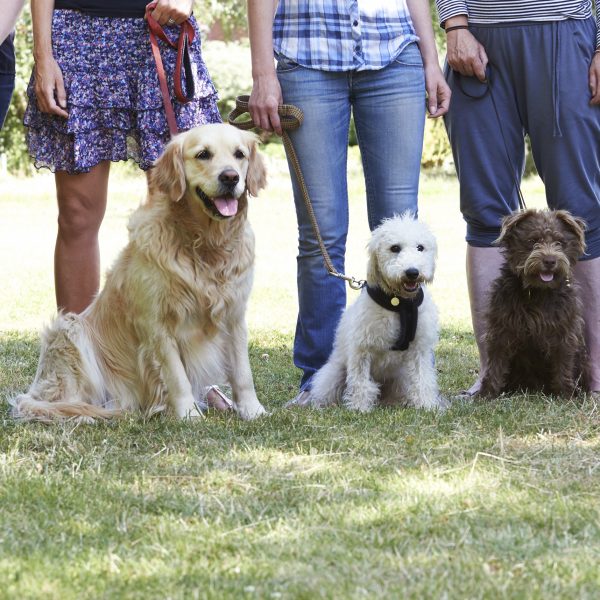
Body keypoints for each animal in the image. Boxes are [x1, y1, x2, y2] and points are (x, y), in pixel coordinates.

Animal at [310, 214, 446, 412]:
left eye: (420, 247)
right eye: (394, 248)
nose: (412, 272)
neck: (399, 303)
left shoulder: (419, 349)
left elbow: (423, 379)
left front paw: (426, 405)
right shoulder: (361, 349)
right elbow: (360, 382)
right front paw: (359, 408)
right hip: (333, 373)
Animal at [480, 209, 588, 400]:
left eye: (560, 243)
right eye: (533, 241)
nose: (550, 260)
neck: (538, 291)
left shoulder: (564, 331)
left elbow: (563, 363)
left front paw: (565, 395)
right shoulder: (501, 328)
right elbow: (496, 363)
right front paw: (487, 394)